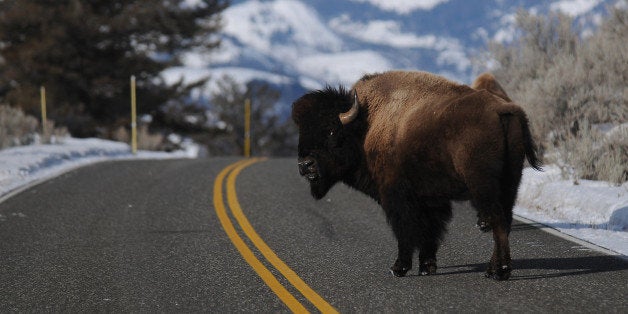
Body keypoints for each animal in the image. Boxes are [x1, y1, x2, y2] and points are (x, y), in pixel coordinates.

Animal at [292, 70, 544, 280]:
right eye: (302, 132)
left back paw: (499, 272)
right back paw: (494, 269)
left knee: (497, 220)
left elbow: (406, 230)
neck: (367, 124)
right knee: (505, 221)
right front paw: (427, 266)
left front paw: (399, 268)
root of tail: (503, 110)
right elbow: (429, 231)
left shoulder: (396, 197)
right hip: (510, 183)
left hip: (482, 186)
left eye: (331, 131)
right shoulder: (431, 199)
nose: (305, 165)